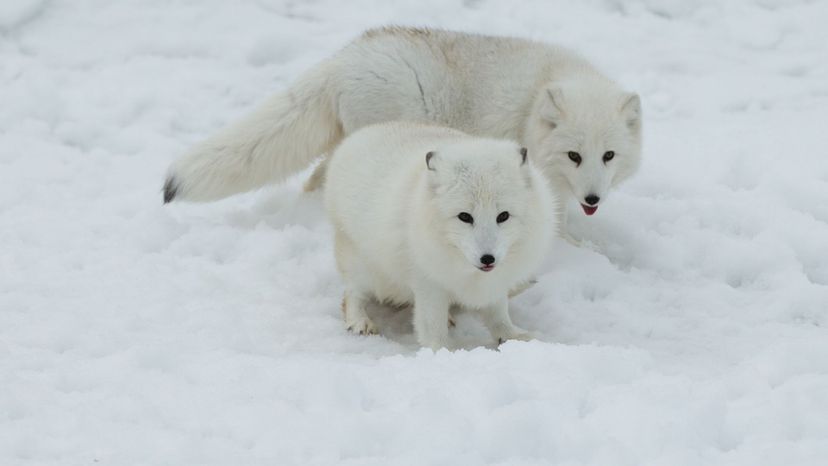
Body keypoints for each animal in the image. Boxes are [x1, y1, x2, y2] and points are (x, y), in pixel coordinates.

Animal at [324, 123, 556, 350]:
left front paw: (512, 337)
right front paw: (441, 352)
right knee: (352, 294)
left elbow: (498, 315)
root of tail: (361, 134)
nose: (488, 259)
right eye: (464, 216)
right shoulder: (428, 282)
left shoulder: (496, 282)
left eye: (503, 216)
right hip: (365, 268)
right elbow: (431, 325)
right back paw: (359, 320)